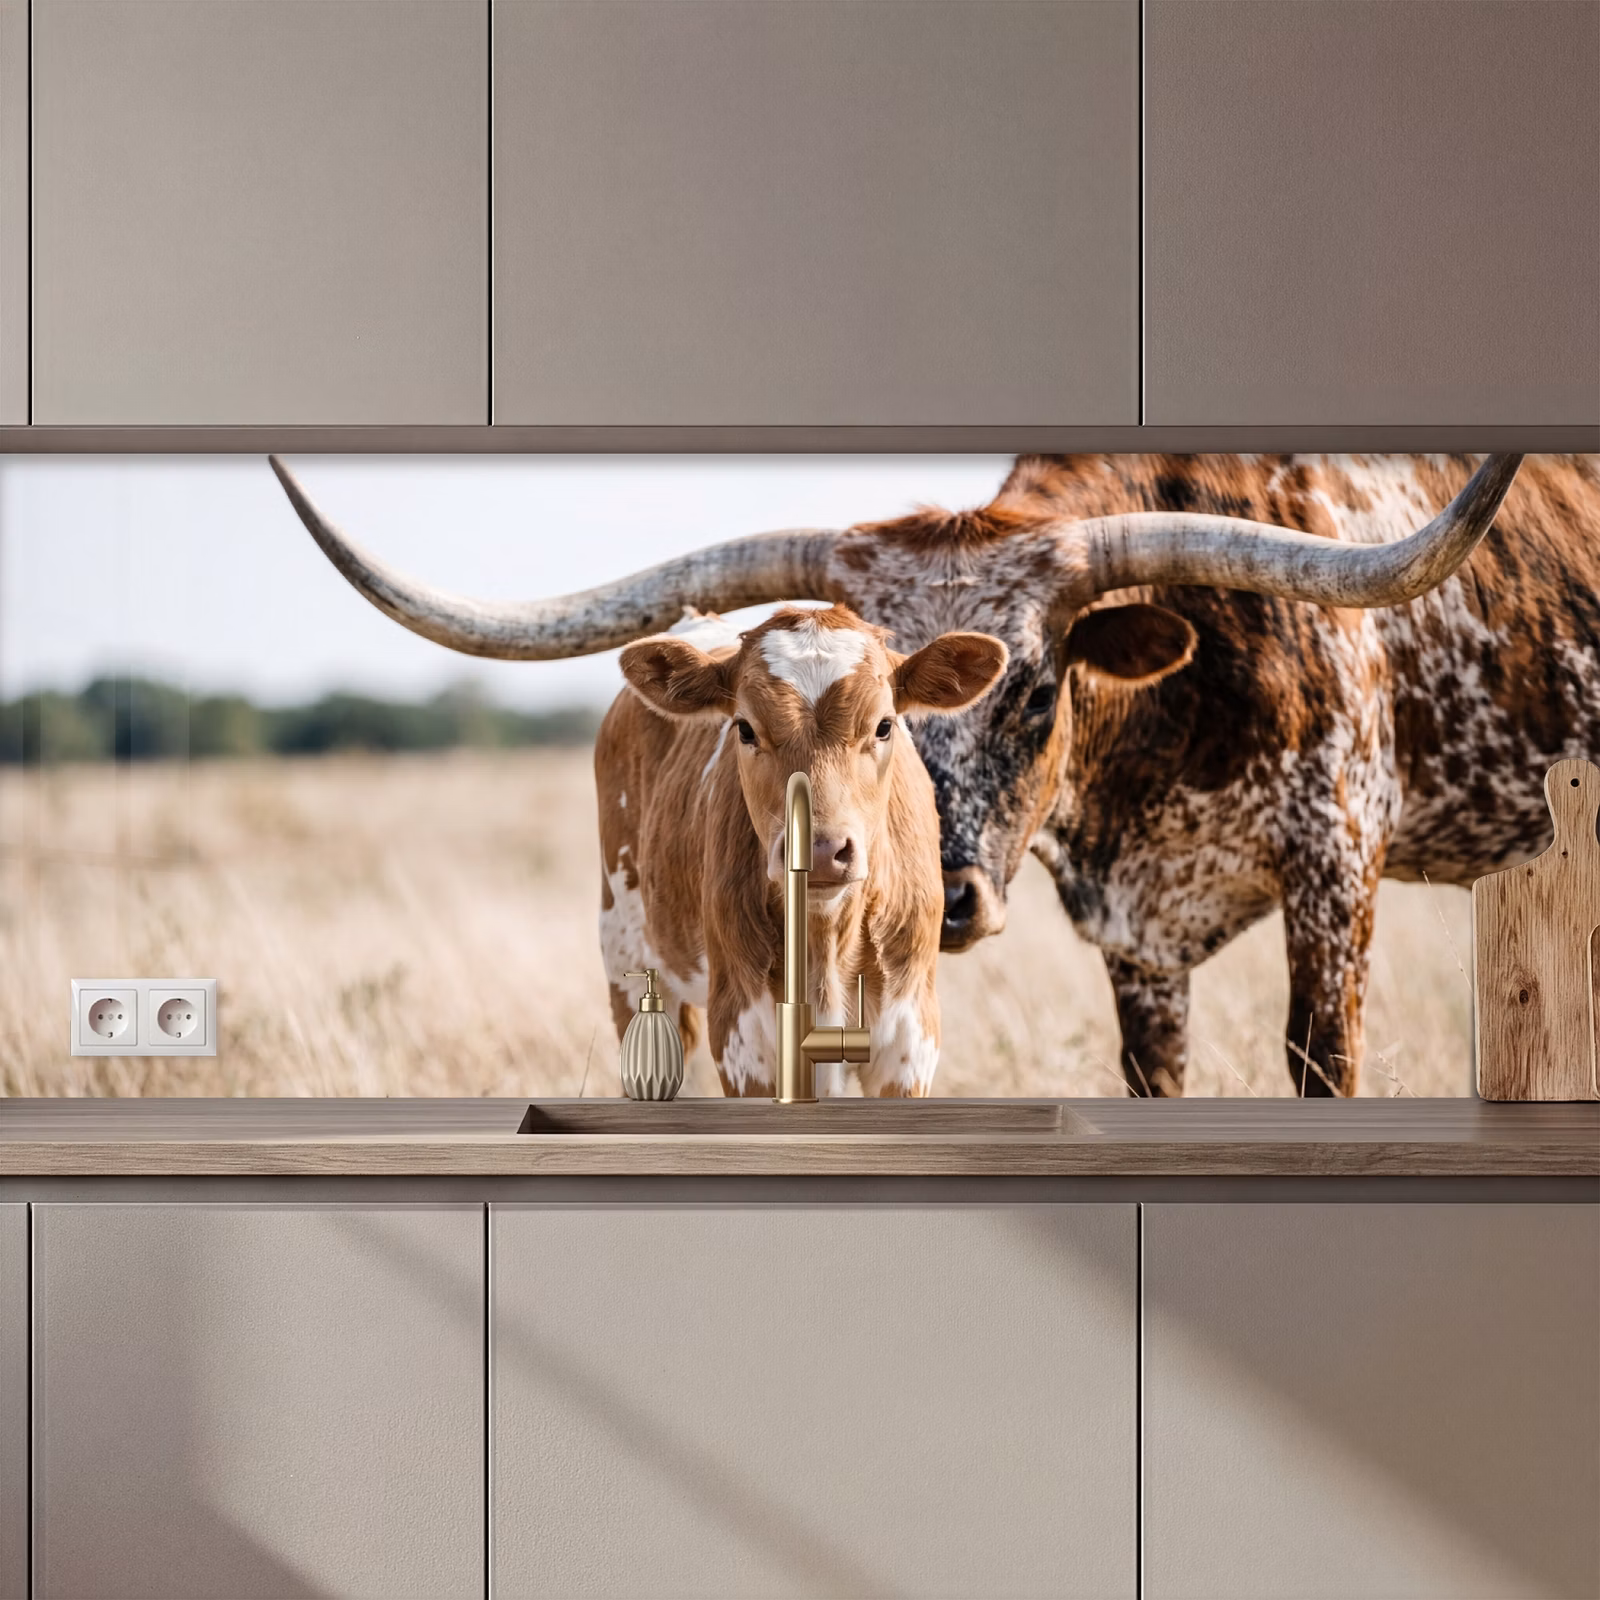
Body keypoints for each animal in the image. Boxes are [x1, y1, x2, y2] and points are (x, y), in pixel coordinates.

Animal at [597, 605, 1005, 1094]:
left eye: (884, 726)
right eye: (745, 728)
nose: (822, 850)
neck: (824, 937)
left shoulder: (911, 1043)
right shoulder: (741, 1039)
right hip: (624, 953)